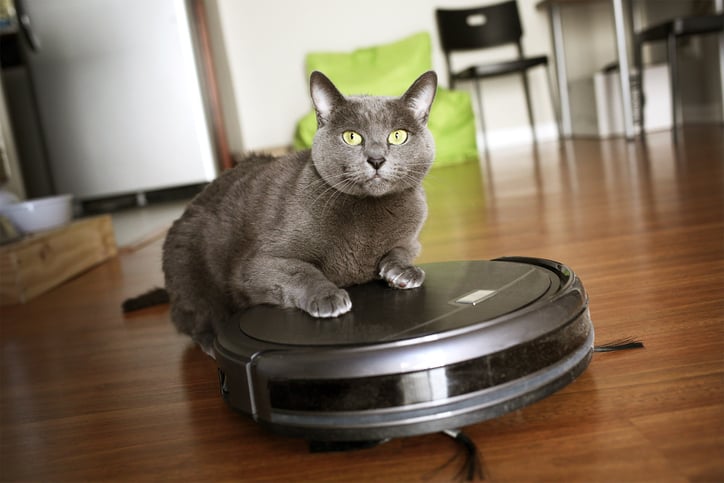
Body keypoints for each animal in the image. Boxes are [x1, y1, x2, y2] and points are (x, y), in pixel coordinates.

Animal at [128, 71, 438, 356]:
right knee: (192, 319)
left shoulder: (412, 239)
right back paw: (211, 344)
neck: (368, 211)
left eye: (397, 136)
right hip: (189, 269)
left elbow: (400, 251)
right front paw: (328, 296)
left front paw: (403, 271)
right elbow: (301, 269)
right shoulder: (256, 265)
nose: (376, 159)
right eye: (351, 137)